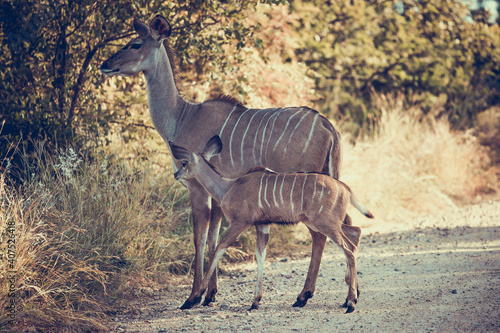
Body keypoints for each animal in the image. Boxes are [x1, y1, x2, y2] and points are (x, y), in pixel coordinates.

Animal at [170, 135, 374, 312]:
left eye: (184, 163)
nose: (175, 174)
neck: (228, 187)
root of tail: (344, 187)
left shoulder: (240, 222)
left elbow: (218, 249)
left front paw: (192, 299)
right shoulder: (263, 225)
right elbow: (260, 255)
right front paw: (255, 302)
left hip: (325, 223)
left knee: (348, 249)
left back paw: (350, 303)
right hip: (322, 222)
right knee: (355, 233)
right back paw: (348, 297)